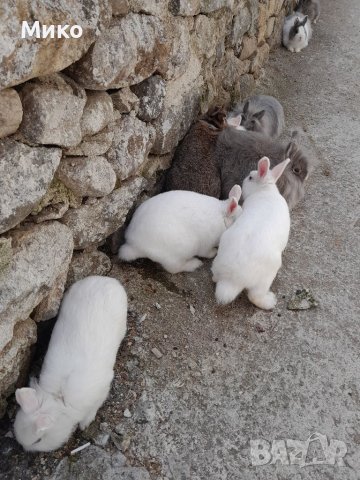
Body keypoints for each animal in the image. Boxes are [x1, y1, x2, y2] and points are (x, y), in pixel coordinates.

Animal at [14, 276, 127, 452]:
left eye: (38, 440)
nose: (25, 449)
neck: (60, 403)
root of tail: (107, 280)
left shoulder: (101, 392)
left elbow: (93, 410)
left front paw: (84, 424)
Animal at [212, 156, 292, 310]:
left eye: (250, 178)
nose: (243, 180)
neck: (265, 191)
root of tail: (232, 280)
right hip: (267, 276)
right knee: (255, 297)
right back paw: (270, 301)